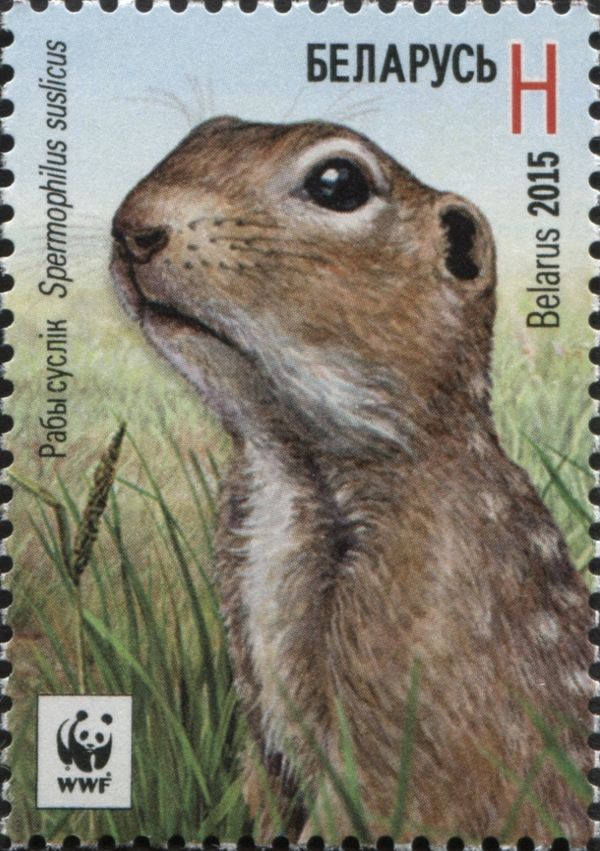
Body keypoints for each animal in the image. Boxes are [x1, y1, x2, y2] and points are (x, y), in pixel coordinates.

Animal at [111, 116, 591, 842]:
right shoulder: (256, 699)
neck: (287, 460)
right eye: (203, 131)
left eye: (338, 183)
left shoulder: (412, 633)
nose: (132, 226)